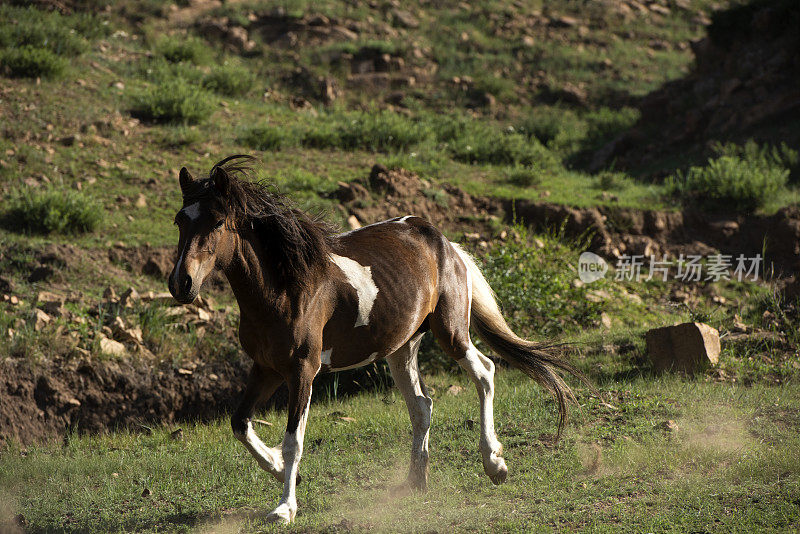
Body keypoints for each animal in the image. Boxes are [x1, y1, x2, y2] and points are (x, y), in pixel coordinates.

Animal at [167, 155, 592, 524]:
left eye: (217, 222)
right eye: (179, 220)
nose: (180, 284)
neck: (285, 290)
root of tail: (442, 240)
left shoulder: (303, 370)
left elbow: (293, 441)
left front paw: (284, 508)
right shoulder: (266, 368)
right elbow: (240, 423)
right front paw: (281, 471)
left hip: (451, 333)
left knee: (484, 372)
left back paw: (495, 465)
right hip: (400, 348)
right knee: (422, 405)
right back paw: (415, 482)